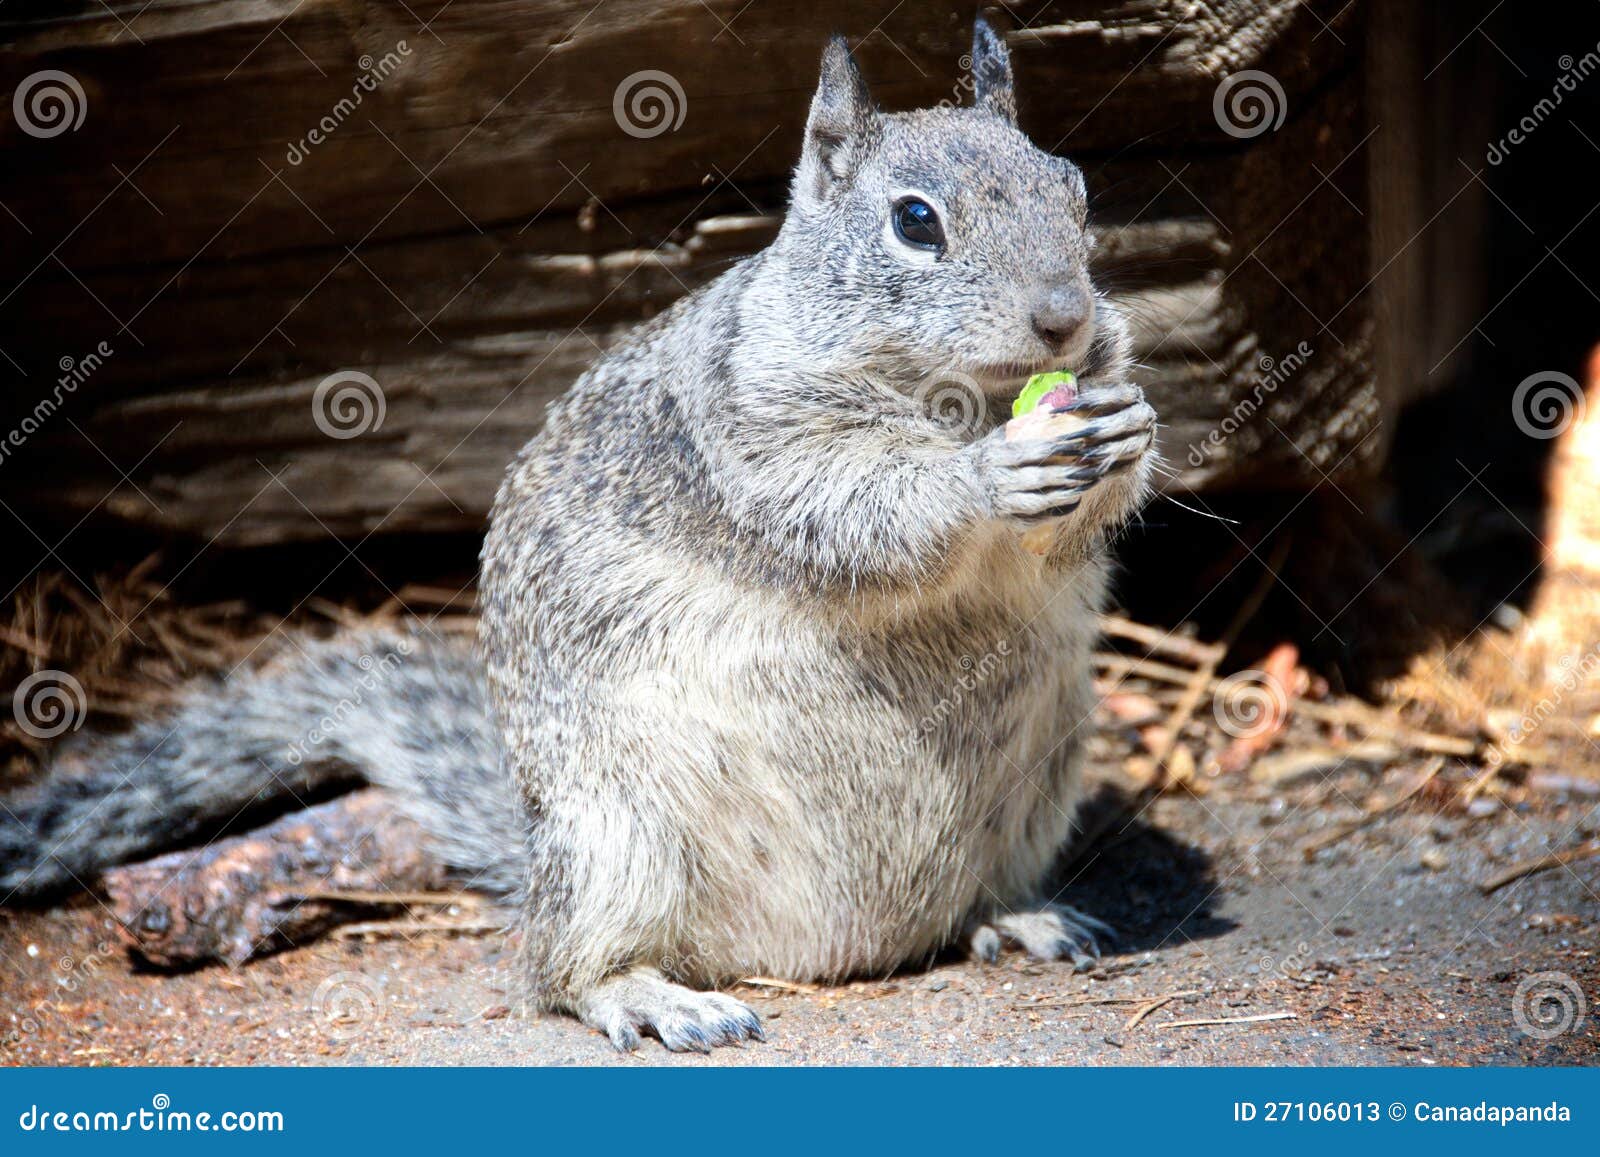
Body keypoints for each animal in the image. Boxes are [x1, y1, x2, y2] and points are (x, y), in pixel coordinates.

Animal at [0, 18, 1155, 1052]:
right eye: (915, 222)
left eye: (1076, 190)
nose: (1064, 318)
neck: (959, 396)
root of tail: (830, 948)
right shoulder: (750, 433)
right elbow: (851, 508)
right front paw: (984, 474)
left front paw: (1128, 425)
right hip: (616, 834)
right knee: (556, 971)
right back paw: (655, 996)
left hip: (1038, 789)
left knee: (966, 905)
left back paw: (1015, 914)